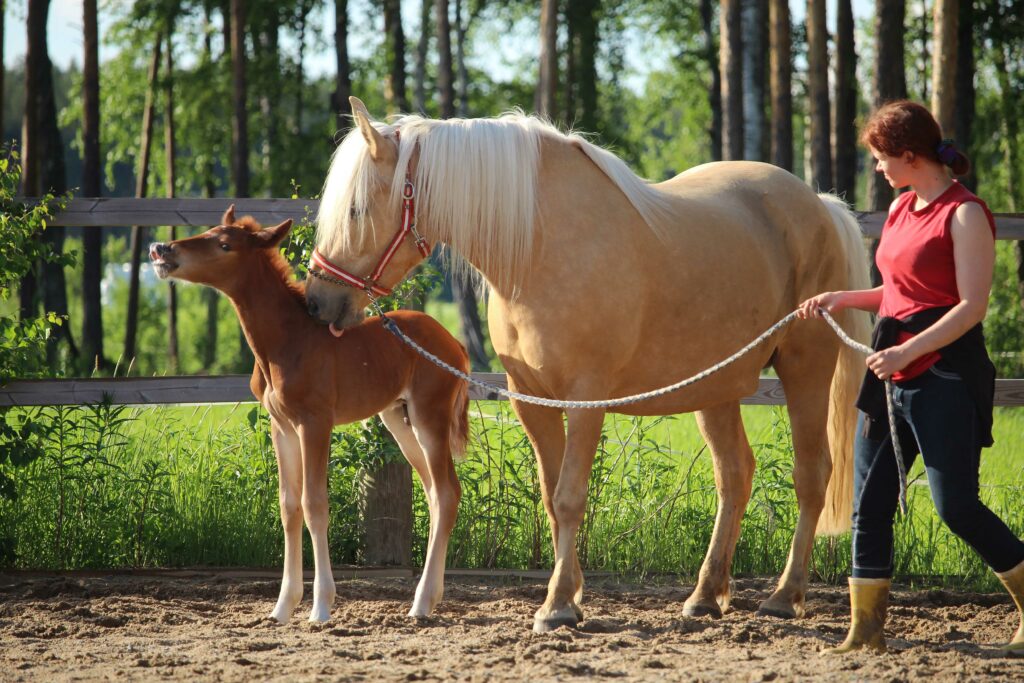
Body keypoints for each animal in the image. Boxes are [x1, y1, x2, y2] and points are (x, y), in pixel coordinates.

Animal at [148, 209, 468, 626]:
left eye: (224, 244)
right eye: (209, 232)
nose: (161, 249)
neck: (287, 342)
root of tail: (455, 344)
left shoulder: (315, 423)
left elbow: (315, 504)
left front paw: (320, 606)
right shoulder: (281, 427)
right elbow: (289, 506)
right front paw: (282, 607)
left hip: (430, 415)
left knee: (446, 492)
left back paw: (420, 601)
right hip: (397, 420)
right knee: (433, 493)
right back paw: (430, 598)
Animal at [305, 98, 872, 634]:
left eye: (356, 209)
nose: (317, 301)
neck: (540, 246)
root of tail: (820, 205)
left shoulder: (585, 400)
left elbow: (571, 496)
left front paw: (556, 607)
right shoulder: (532, 400)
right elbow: (552, 498)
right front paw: (571, 595)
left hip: (805, 368)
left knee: (811, 474)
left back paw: (784, 596)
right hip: (716, 388)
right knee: (734, 476)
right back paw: (705, 597)